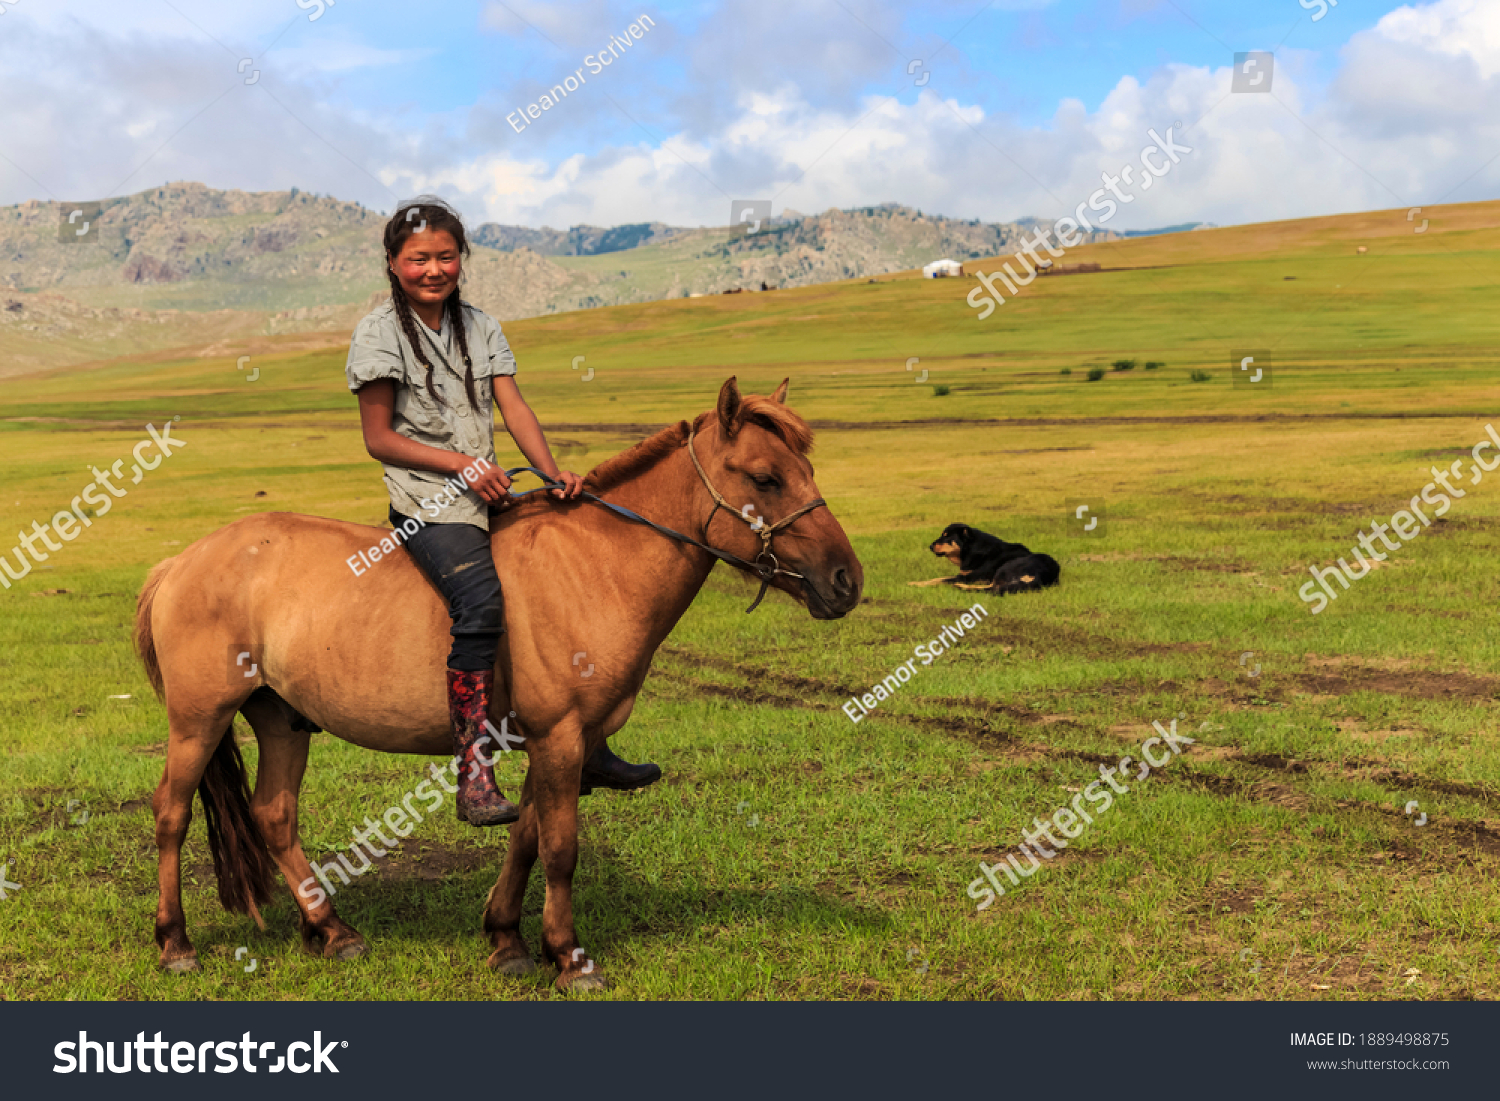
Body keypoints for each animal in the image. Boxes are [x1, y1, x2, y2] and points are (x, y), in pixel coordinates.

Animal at [135, 378, 864, 990]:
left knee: (275, 815)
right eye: (766, 477)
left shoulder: (562, 740)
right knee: (171, 812)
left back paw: (332, 930)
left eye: (808, 470)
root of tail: (181, 561)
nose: (846, 581)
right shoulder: (561, 735)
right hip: (199, 720)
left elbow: (529, 837)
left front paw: (507, 938)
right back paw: (176, 943)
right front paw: (568, 958)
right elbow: (561, 848)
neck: (598, 564)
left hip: (281, 716)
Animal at [906, 525, 1062, 594]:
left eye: (946, 536)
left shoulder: (967, 577)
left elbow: (938, 579)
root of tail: (1041, 575)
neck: (971, 549)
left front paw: (915, 583)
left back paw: (960, 587)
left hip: (1005, 568)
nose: (930, 546)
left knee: (992, 588)